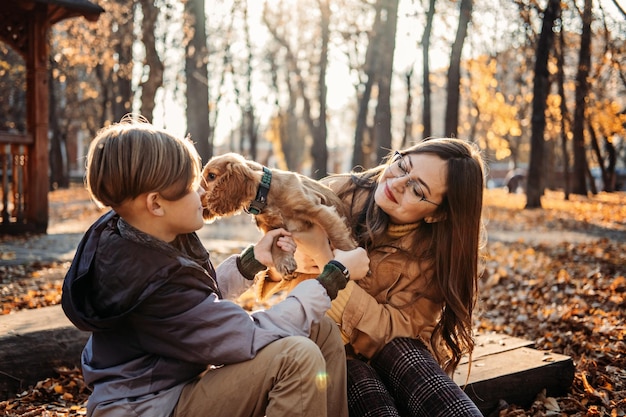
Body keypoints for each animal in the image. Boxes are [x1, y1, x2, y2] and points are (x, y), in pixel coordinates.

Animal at [201, 151, 354, 278]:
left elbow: (336, 235)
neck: (265, 193)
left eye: (212, 176)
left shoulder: (318, 209)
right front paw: (284, 263)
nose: (199, 194)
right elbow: (276, 243)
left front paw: (349, 254)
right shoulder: (273, 227)